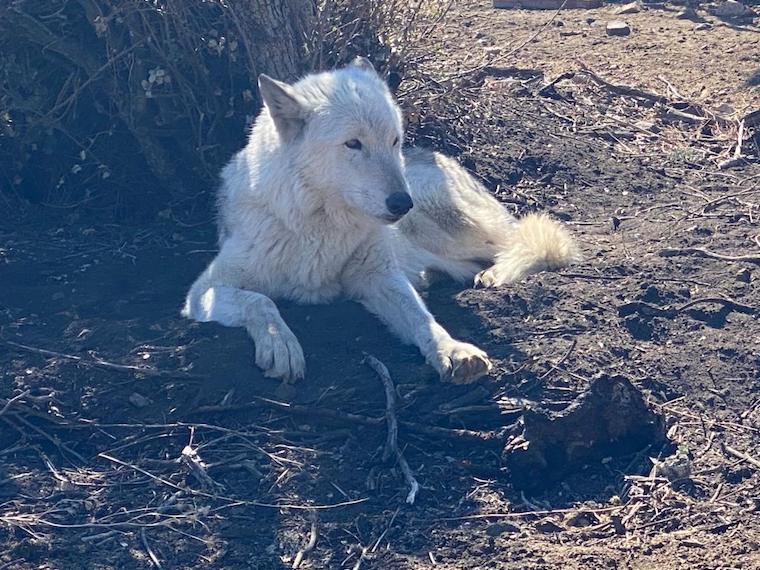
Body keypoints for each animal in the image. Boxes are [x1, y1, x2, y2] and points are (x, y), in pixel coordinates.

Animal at [182, 57, 579, 385]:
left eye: (393, 140)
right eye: (353, 144)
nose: (403, 202)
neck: (320, 228)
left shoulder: (379, 276)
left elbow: (422, 319)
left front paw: (453, 350)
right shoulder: (204, 290)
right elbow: (261, 301)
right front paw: (280, 345)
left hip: (448, 223)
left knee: (532, 243)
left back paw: (493, 273)